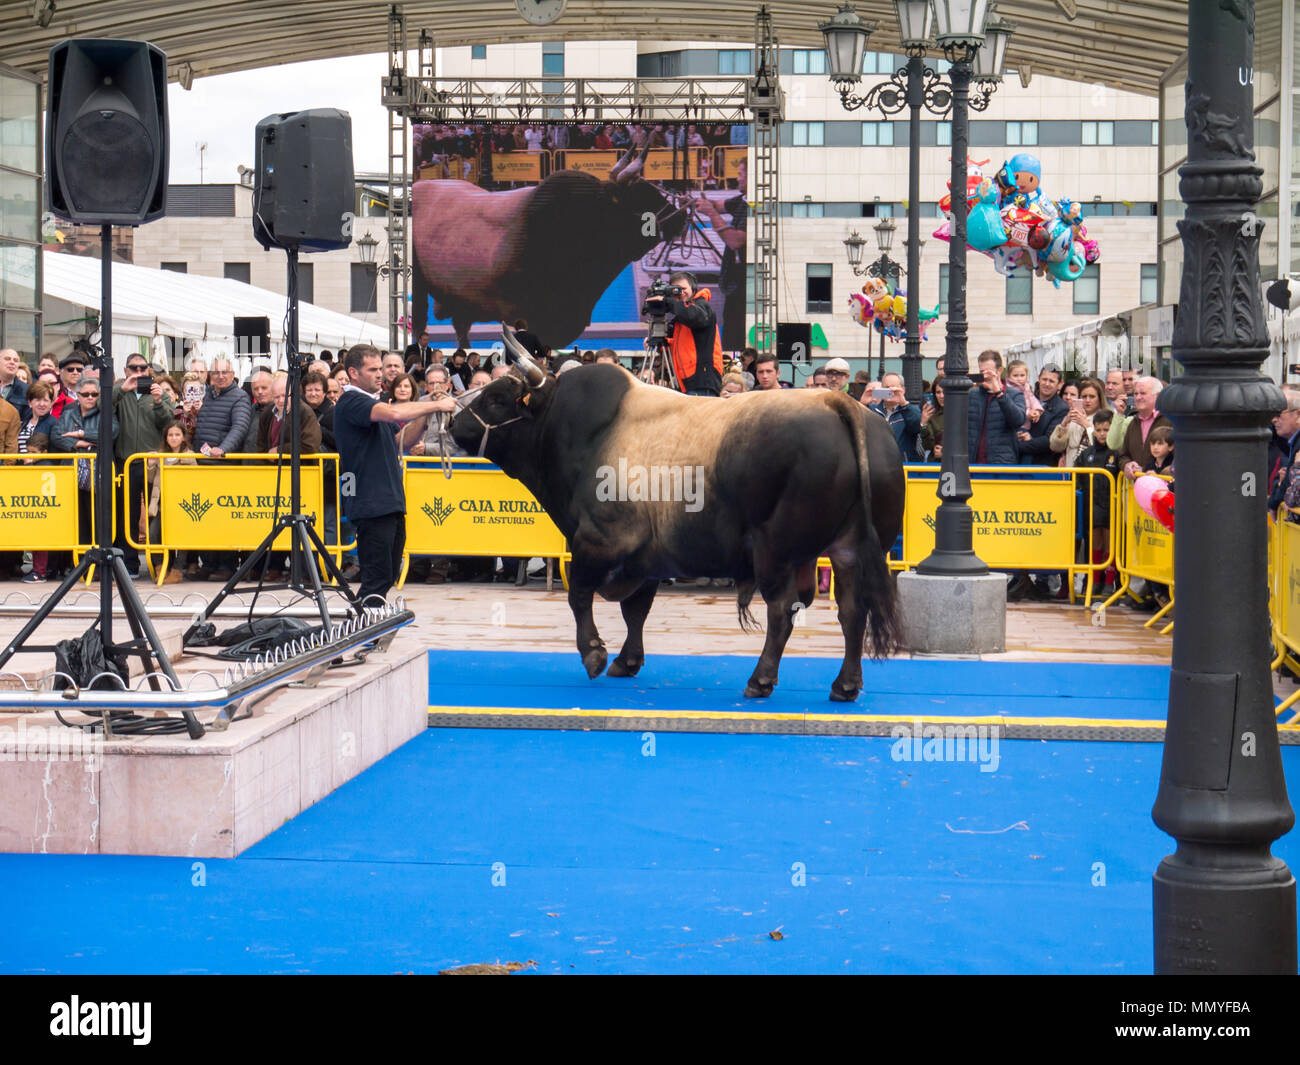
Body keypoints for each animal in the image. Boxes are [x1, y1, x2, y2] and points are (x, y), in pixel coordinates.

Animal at [447, 328, 904, 702]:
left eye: (497, 398)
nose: (452, 423)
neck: (583, 431)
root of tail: (836, 401)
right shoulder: (647, 556)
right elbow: (636, 610)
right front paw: (627, 660)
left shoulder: (600, 541)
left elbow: (580, 596)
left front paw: (594, 653)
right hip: (849, 550)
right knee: (852, 611)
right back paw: (845, 684)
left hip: (777, 552)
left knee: (783, 610)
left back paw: (761, 679)